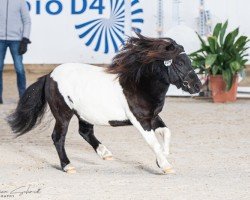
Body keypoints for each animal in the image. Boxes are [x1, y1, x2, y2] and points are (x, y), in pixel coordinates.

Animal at [7, 33, 201, 173]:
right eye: (180, 62)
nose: (197, 86)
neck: (140, 85)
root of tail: (49, 76)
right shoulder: (140, 120)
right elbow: (153, 142)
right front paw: (165, 165)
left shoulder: (153, 117)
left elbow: (166, 132)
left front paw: (163, 156)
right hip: (63, 114)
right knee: (58, 138)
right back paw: (68, 166)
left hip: (84, 114)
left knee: (85, 132)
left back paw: (105, 154)